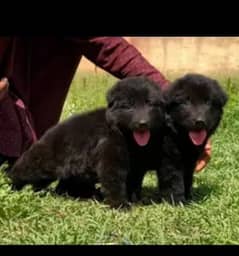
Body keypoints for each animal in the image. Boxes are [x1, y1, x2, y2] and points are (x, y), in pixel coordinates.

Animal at [7, 77, 164, 209]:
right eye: (129, 106)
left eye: (150, 103)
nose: (143, 123)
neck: (125, 135)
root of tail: (47, 133)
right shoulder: (110, 158)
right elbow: (114, 181)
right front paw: (120, 205)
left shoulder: (137, 165)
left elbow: (134, 182)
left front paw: (135, 200)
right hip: (42, 163)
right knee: (22, 171)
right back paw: (11, 186)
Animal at [157, 73, 228, 204]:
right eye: (186, 102)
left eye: (207, 102)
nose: (199, 122)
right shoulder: (170, 160)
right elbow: (175, 181)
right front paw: (177, 201)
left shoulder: (190, 160)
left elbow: (188, 179)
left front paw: (189, 198)